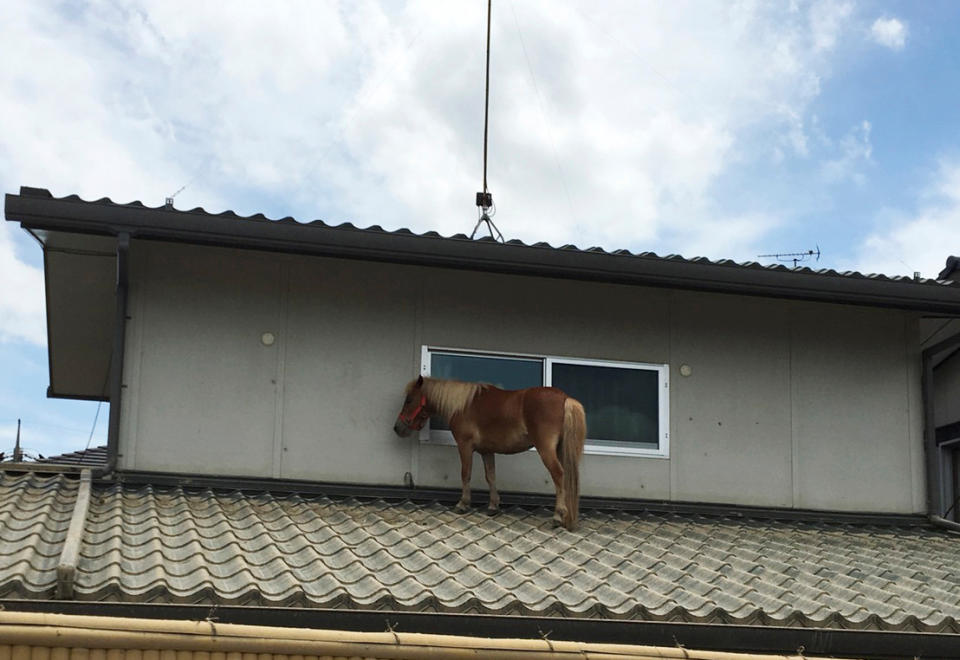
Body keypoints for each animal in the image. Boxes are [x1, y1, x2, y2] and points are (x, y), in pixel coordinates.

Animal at [390, 376, 584, 532]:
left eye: (409, 400)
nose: (397, 428)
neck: (464, 405)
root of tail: (565, 398)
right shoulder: (487, 451)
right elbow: (490, 476)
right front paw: (493, 506)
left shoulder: (465, 446)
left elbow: (466, 474)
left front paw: (463, 503)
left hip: (546, 450)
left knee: (559, 475)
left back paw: (557, 516)